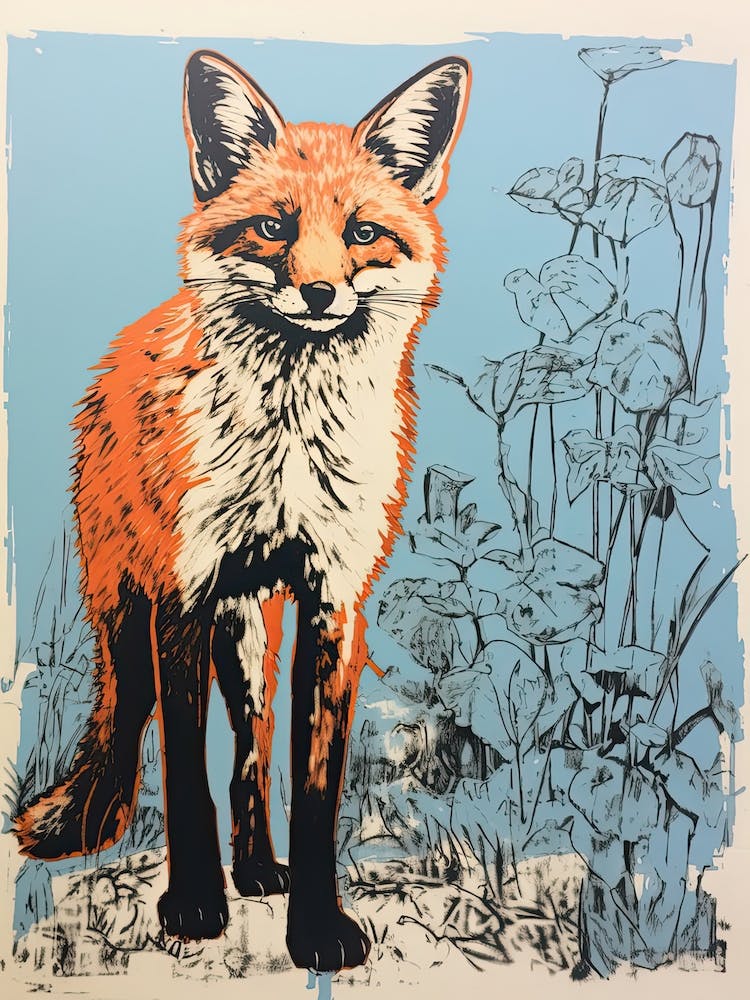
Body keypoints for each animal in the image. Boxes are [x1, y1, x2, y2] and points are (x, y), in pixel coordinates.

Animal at [13, 50, 470, 971]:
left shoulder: (335, 604)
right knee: (143, 725)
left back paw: (259, 868)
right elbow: (187, 775)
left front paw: (319, 927)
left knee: (252, 757)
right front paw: (192, 904)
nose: (321, 293)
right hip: (133, 608)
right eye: (271, 228)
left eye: (362, 234)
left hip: (253, 641)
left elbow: (315, 791)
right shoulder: (181, 598)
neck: (289, 449)